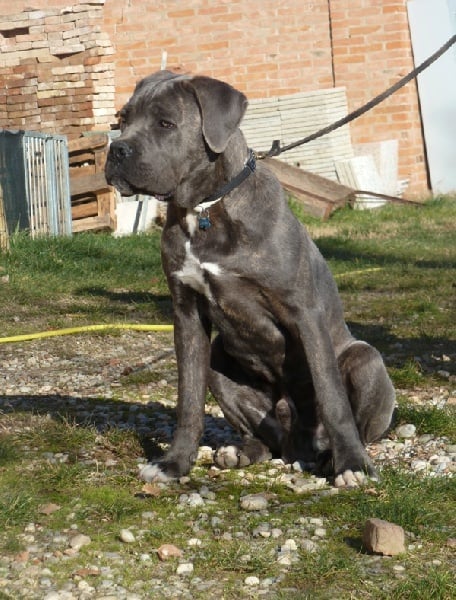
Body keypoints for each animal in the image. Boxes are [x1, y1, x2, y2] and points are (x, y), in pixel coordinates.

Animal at [105, 70, 395, 488]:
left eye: (165, 123)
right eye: (122, 120)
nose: (117, 151)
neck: (205, 210)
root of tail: (299, 449)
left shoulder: (303, 312)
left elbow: (332, 395)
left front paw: (352, 465)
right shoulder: (187, 313)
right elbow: (188, 399)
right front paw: (173, 463)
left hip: (365, 358)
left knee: (351, 415)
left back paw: (332, 457)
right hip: (219, 363)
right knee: (268, 437)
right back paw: (241, 452)